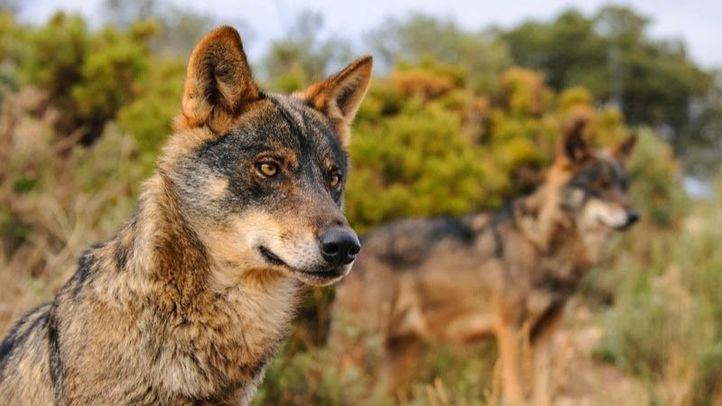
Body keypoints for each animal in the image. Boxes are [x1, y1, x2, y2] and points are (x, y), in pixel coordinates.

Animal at [331, 120, 638, 404]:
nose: (634, 215)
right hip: (359, 349)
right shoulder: (511, 330)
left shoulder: (547, 334)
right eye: (600, 186)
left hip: (398, 357)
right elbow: (516, 393)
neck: (543, 244)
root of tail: (359, 243)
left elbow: (542, 394)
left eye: (623, 186)